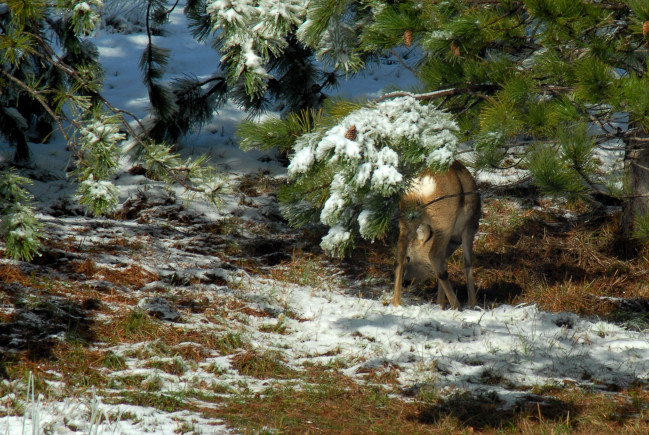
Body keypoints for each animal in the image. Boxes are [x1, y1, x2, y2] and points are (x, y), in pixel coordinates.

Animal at [390, 161, 480, 310]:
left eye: (410, 258)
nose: (406, 282)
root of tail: (423, 178)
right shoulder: (470, 228)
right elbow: (468, 263)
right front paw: (473, 304)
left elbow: (445, 261)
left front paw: (440, 303)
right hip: (444, 219)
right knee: (434, 255)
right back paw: (457, 306)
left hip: (407, 215)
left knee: (399, 252)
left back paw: (397, 302)